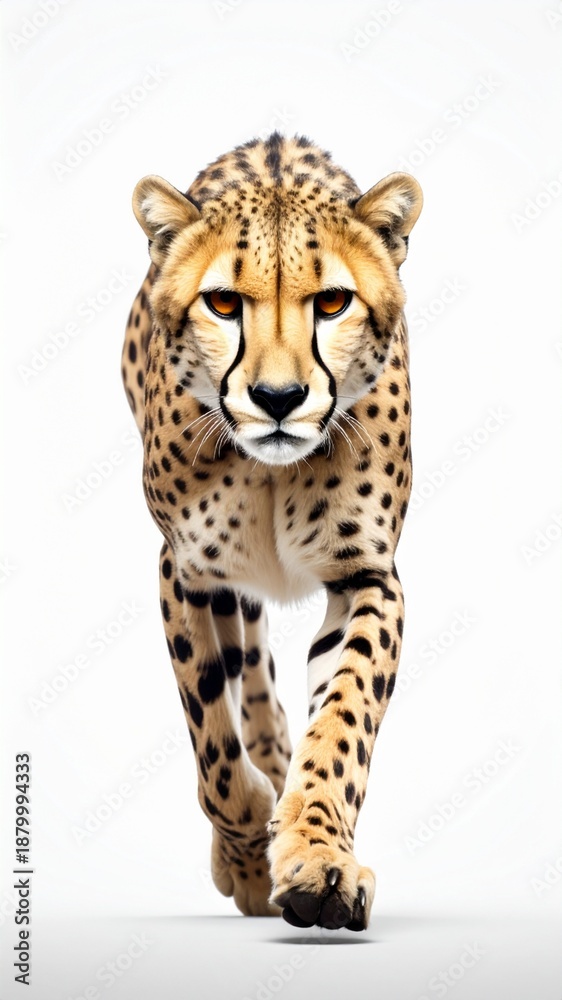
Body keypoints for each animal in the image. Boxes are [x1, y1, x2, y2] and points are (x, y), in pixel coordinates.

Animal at [121, 132, 422, 931]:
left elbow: (343, 719)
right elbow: (213, 741)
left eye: (333, 302)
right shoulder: (185, 571)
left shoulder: (368, 576)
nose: (279, 398)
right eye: (223, 302)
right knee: (248, 669)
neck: (271, 472)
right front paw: (253, 847)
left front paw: (317, 859)